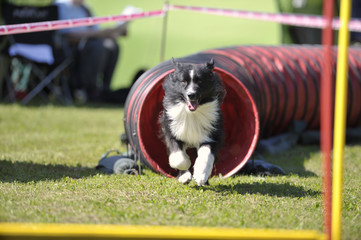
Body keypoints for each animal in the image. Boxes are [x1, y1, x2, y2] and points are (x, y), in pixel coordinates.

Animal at [159, 58, 224, 186]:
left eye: (200, 81)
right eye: (183, 82)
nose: (191, 95)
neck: (192, 113)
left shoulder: (212, 134)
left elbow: (206, 155)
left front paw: (200, 176)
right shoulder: (171, 130)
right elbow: (179, 158)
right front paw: (185, 171)